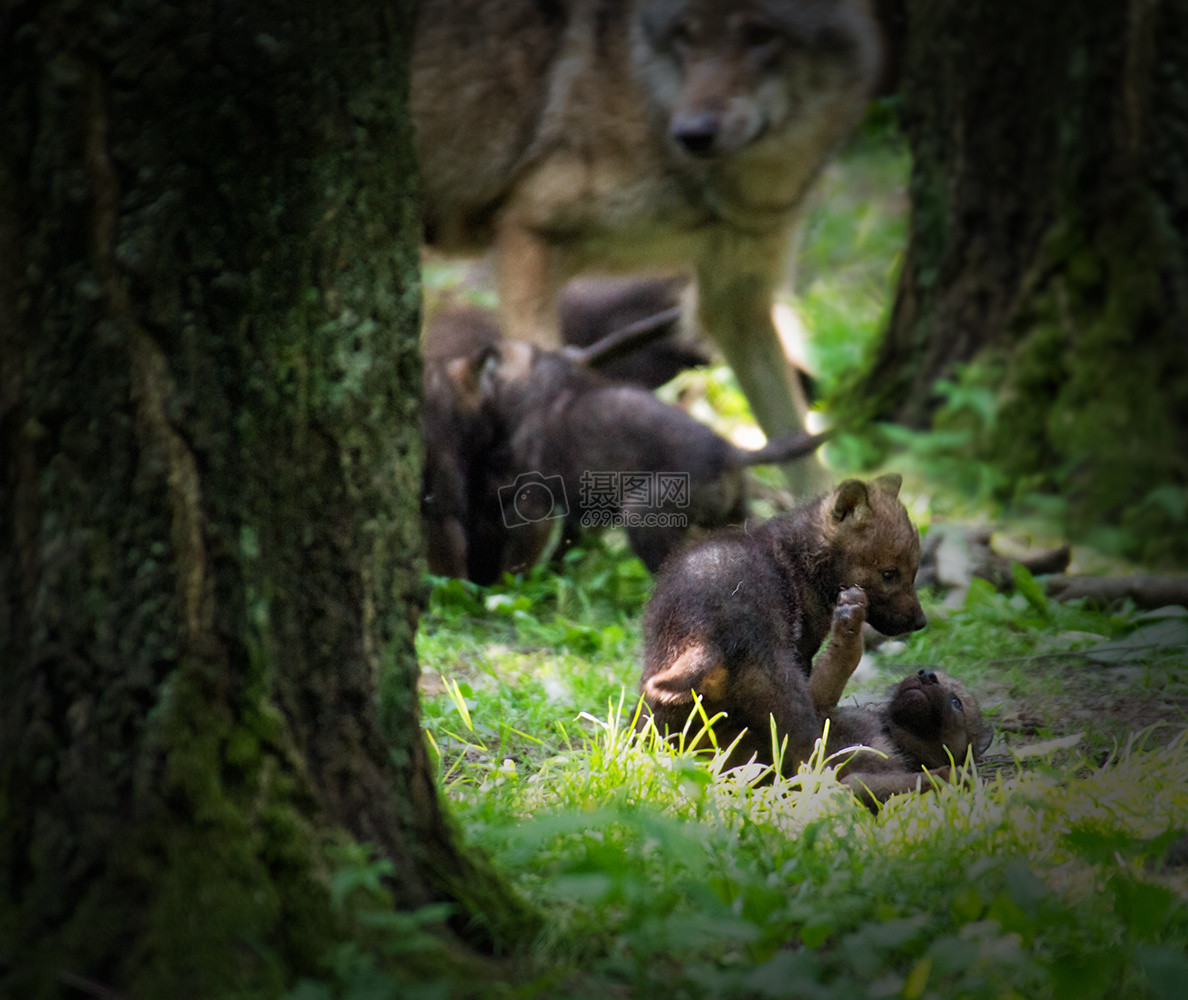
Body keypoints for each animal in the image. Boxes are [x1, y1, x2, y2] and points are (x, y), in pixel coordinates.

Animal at [413, 0, 879, 491]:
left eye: (760, 34)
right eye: (685, 36)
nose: (693, 133)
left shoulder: (735, 300)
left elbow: (799, 446)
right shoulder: (527, 236)